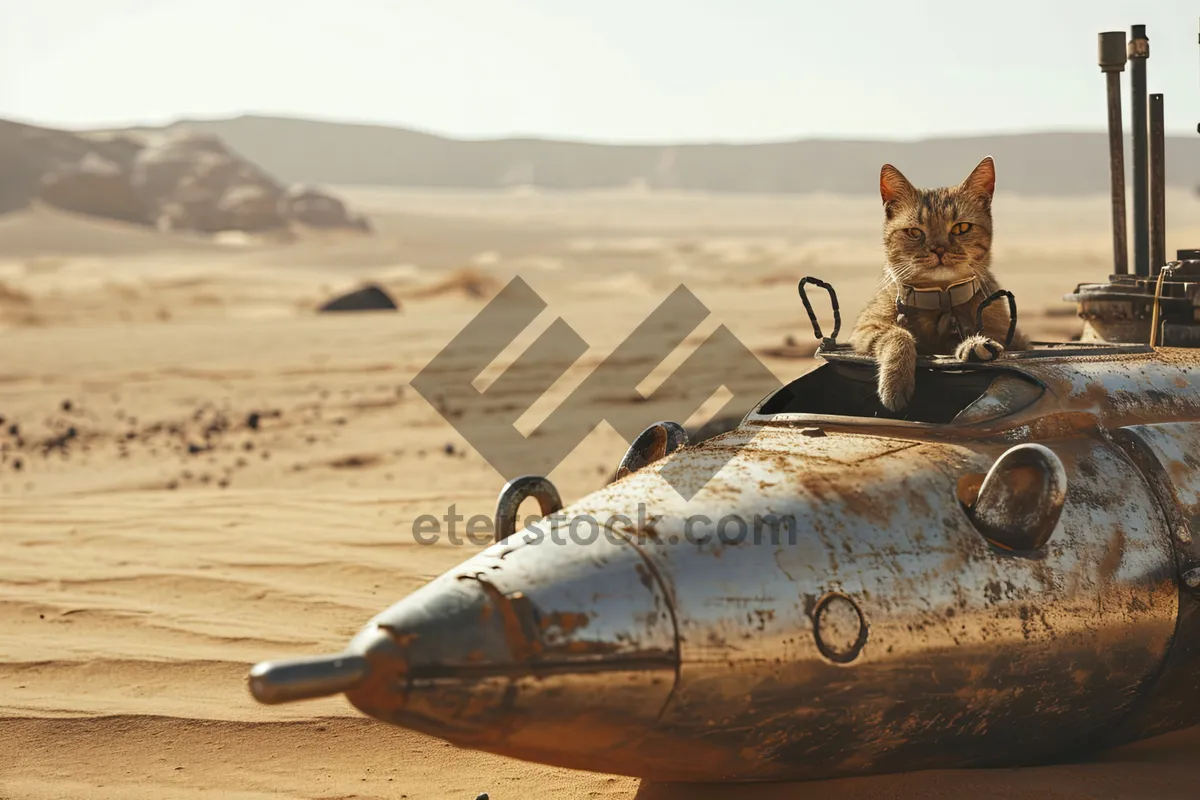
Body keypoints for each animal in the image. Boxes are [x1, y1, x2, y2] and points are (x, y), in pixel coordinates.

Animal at [849, 159, 1027, 417]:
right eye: (914, 232)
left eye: (961, 228)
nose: (939, 249)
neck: (939, 298)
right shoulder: (865, 328)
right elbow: (897, 334)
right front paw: (895, 381)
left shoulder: (1011, 336)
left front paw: (975, 345)